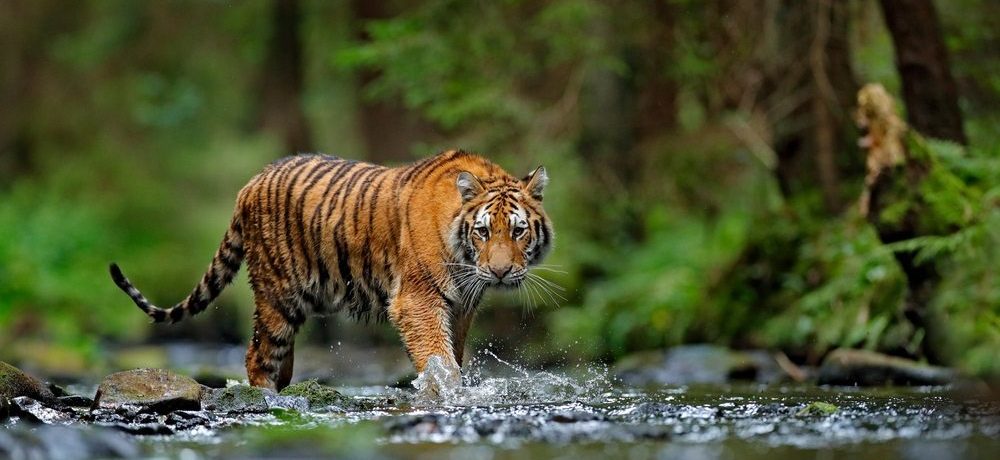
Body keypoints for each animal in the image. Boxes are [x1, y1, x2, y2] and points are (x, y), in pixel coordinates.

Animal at [109, 150, 556, 392]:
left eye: (518, 231)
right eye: (483, 231)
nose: (500, 272)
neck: (465, 259)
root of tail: (251, 182)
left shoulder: (461, 306)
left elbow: (453, 356)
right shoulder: (418, 301)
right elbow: (438, 359)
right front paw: (447, 393)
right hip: (277, 295)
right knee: (258, 355)